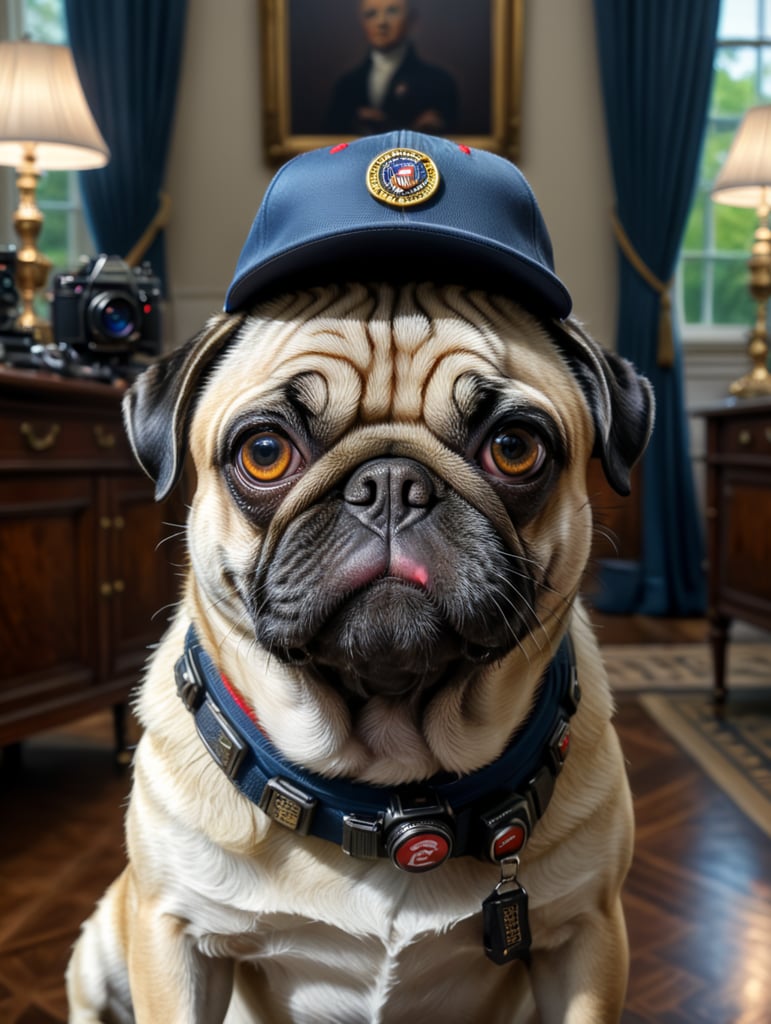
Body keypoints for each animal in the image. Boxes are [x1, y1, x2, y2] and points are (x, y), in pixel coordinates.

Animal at [67, 132, 651, 1019]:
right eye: (263, 452)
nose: (390, 483)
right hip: (107, 938)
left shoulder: (587, 937)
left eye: (514, 447)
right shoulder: (172, 938)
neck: (387, 795)